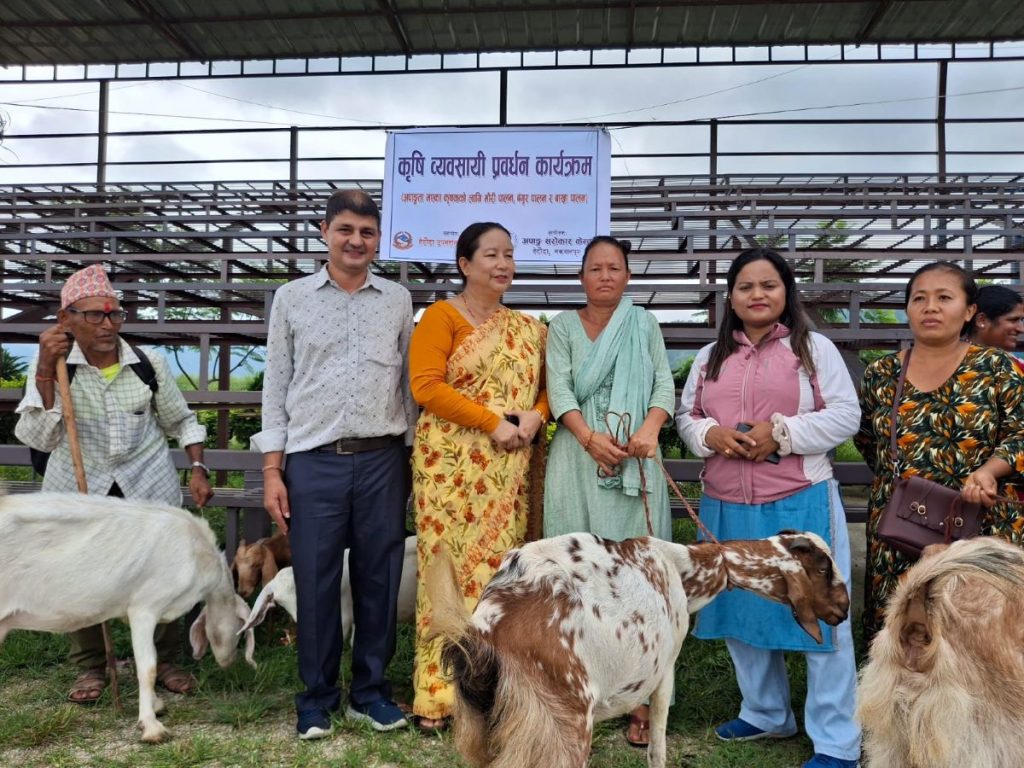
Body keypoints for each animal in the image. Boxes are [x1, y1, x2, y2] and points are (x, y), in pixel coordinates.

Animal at [0, 491, 256, 743]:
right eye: (240, 627)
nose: (229, 663)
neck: (199, 554)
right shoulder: (144, 608)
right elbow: (148, 667)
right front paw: (152, 727)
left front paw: (156, 705)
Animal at [426, 531, 849, 768]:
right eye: (823, 569)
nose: (843, 610)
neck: (682, 569)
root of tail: (482, 635)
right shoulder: (664, 671)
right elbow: (657, 749)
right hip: (561, 725)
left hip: (487, 732)